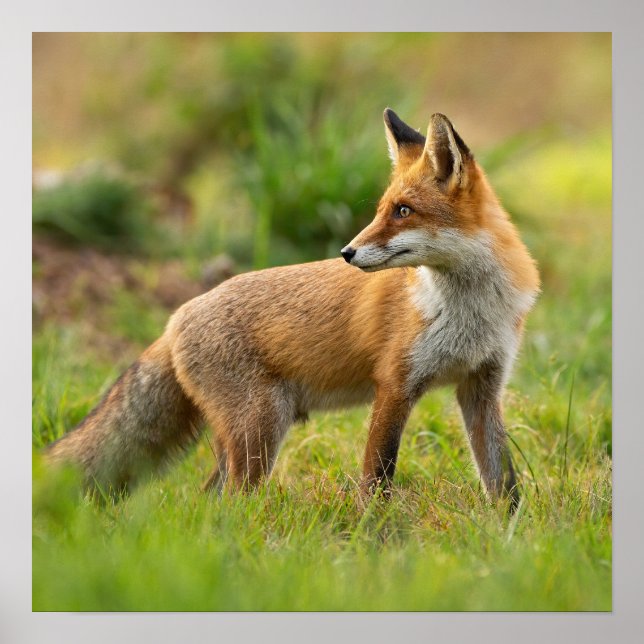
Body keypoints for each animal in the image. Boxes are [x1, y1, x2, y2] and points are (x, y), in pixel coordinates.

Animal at [45, 108, 540, 509]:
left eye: (403, 211)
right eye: (382, 209)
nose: (347, 252)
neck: (467, 312)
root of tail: (175, 318)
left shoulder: (482, 386)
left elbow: (503, 481)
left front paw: (510, 535)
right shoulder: (395, 384)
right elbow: (377, 480)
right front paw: (374, 537)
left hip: (251, 436)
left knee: (206, 500)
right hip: (259, 433)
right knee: (225, 503)